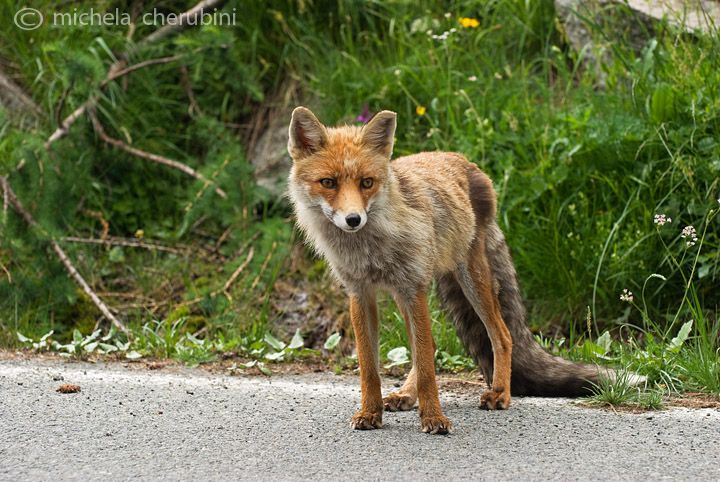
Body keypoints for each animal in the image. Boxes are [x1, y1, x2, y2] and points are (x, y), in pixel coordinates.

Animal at [286, 107, 632, 434]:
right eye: (328, 183)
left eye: (366, 183)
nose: (354, 219)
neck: (370, 248)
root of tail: (461, 159)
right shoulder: (361, 292)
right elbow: (371, 368)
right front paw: (370, 413)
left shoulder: (413, 288)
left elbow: (428, 368)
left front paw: (434, 418)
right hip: (410, 290)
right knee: (431, 345)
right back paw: (406, 395)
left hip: (469, 277)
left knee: (502, 335)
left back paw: (500, 393)